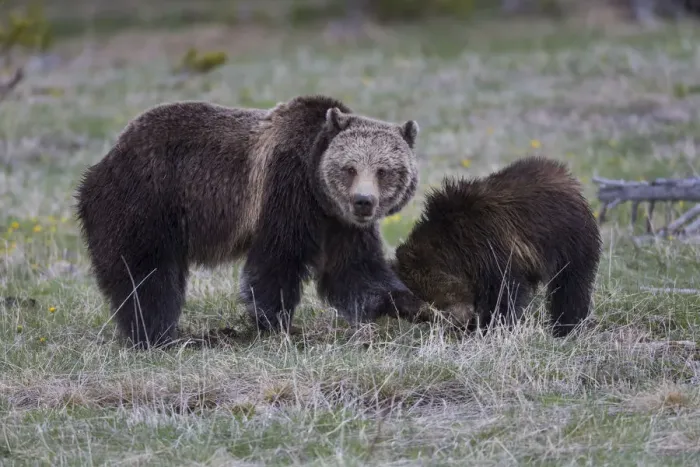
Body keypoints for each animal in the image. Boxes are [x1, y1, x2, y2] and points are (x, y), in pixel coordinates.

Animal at [75, 94, 423, 348]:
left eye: (384, 170)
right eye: (350, 168)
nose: (363, 201)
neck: (317, 190)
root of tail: (107, 157)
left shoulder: (340, 225)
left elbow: (355, 271)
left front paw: (408, 305)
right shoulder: (286, 191)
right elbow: (276, 262)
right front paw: (277, 325)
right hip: (146, 203)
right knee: (146, 275)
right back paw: (157, 335)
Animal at [391, 156, 602, 338]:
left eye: (434, 303)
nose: (457, 323)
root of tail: (568, 178)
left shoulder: (493, 251)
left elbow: (503, 296)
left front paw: (492, 328)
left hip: (569, 239)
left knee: (571, 284)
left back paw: (566, 326)